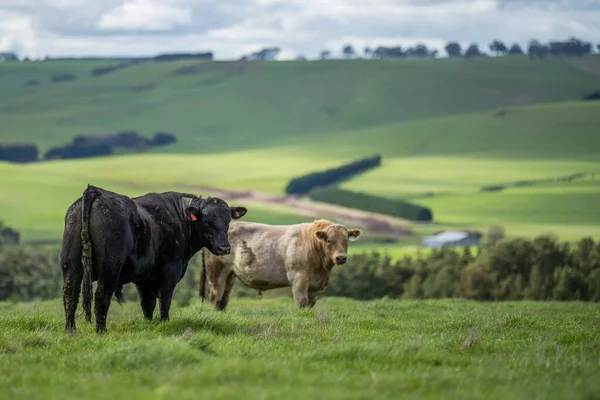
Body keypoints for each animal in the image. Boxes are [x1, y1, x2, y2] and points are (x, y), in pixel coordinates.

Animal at [59, 185, 247, 334]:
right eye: (207, 221)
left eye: (228, 221)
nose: (224, 248)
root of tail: (96, 192)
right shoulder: (170, 271)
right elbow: (165, 300)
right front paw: (164, 323)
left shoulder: (143, 277)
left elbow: (147, 303)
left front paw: (149, 325)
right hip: (110, 266)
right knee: (101, 296)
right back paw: (101, 331)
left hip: (71, 264)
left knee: (70, 294)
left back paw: (71, 330)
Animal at [200, 219, 360, 310]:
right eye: (329, 240)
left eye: (346, 241)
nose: (341, 258)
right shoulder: (299, 278)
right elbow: (302, 303)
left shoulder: (316, 286)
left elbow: (310, 304)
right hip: (217, 270)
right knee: (215, 296)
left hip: (231, 274)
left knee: (223, 299)